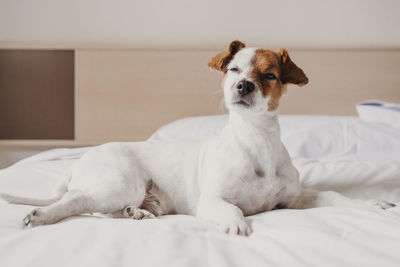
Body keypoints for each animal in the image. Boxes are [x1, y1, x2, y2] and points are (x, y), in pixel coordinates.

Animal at [0, 40, 394, 237]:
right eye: (234, 69)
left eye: (269, 74)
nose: (243, 85)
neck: (256, 141)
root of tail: (82, 159)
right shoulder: (213, 200)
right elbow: (232, 208)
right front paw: (236, 223)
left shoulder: (294, 199)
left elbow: (335, 196)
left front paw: (371, 204)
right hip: (119, 182)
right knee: (77, 202)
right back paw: (41, 216)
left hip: (127, 195)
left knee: (98, 209)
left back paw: (135, 214)